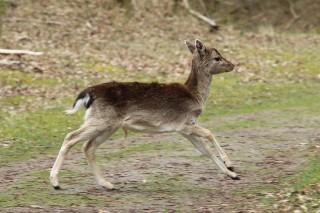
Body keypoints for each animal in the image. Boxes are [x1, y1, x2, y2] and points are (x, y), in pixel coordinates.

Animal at [50, 39, 239, 190]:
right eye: (217, 57)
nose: (232, 65)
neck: (194, 96)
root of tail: (88, 94)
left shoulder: (185, 129)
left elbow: (206, 150)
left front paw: (232, 174)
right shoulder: (184, 123)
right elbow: (210, 134)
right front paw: (230, 163)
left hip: (108, 126)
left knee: (88, 147)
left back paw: (107, 184)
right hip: (101, 121)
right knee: (70, 137)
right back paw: (55, 182)